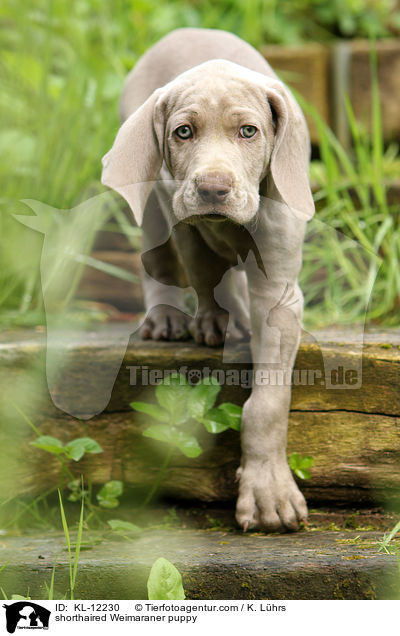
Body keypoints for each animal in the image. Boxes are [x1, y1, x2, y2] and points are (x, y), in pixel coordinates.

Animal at [103, 28, 316, 532]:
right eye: (184, 132)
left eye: (248, 131)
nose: (213, 189)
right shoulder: (183, 216)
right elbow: (200, 268)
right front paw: (212, 321)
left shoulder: (279, 293)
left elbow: (268, 403)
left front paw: (269, 491)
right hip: (153, 198)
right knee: (163, 261)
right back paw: (168, 317)